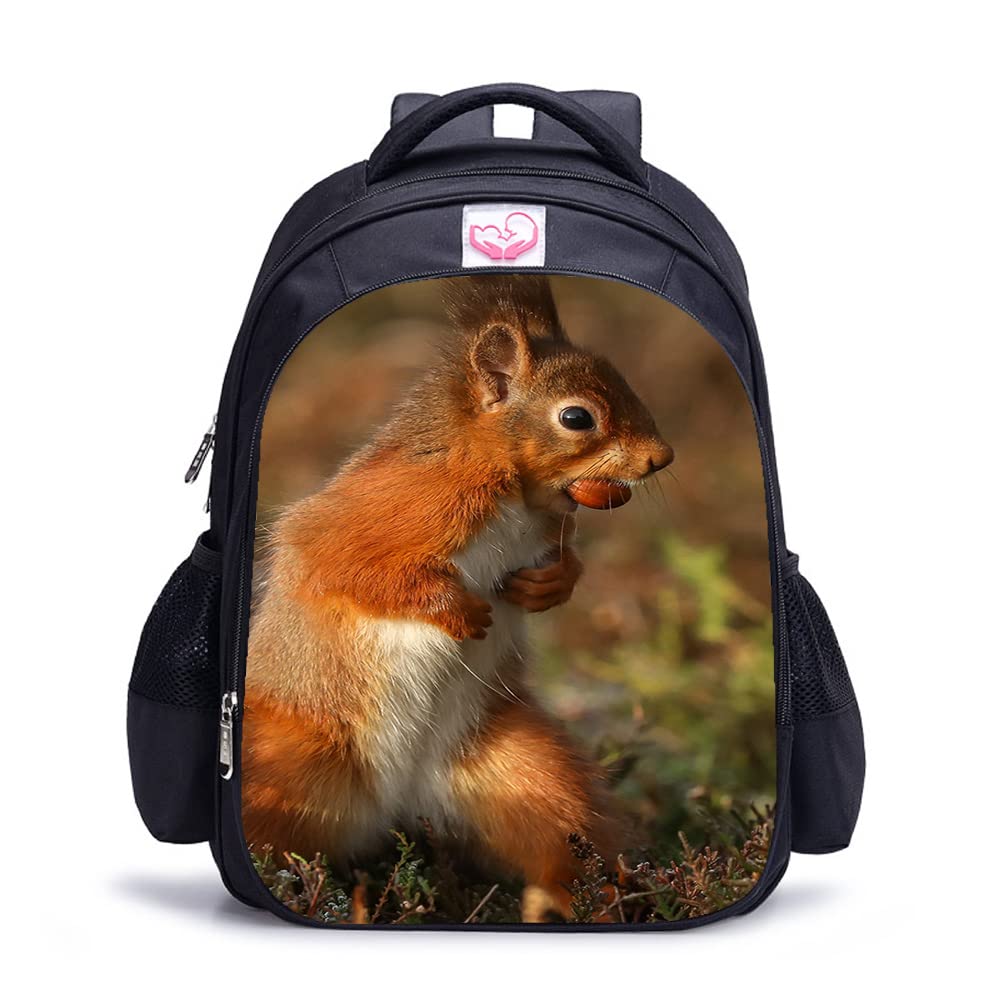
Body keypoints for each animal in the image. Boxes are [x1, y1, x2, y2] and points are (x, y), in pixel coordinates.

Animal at [242, 275, 673, 922]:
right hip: (286, 768)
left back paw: (566, 902)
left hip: (519, 770)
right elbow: (353, 570)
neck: (516, 492)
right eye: (576, 417)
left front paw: (550, 586)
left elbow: (563, 567)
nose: (661, 458)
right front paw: (457, 609)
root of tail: (393, 806)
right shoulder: (386, 511)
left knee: (559, 830)